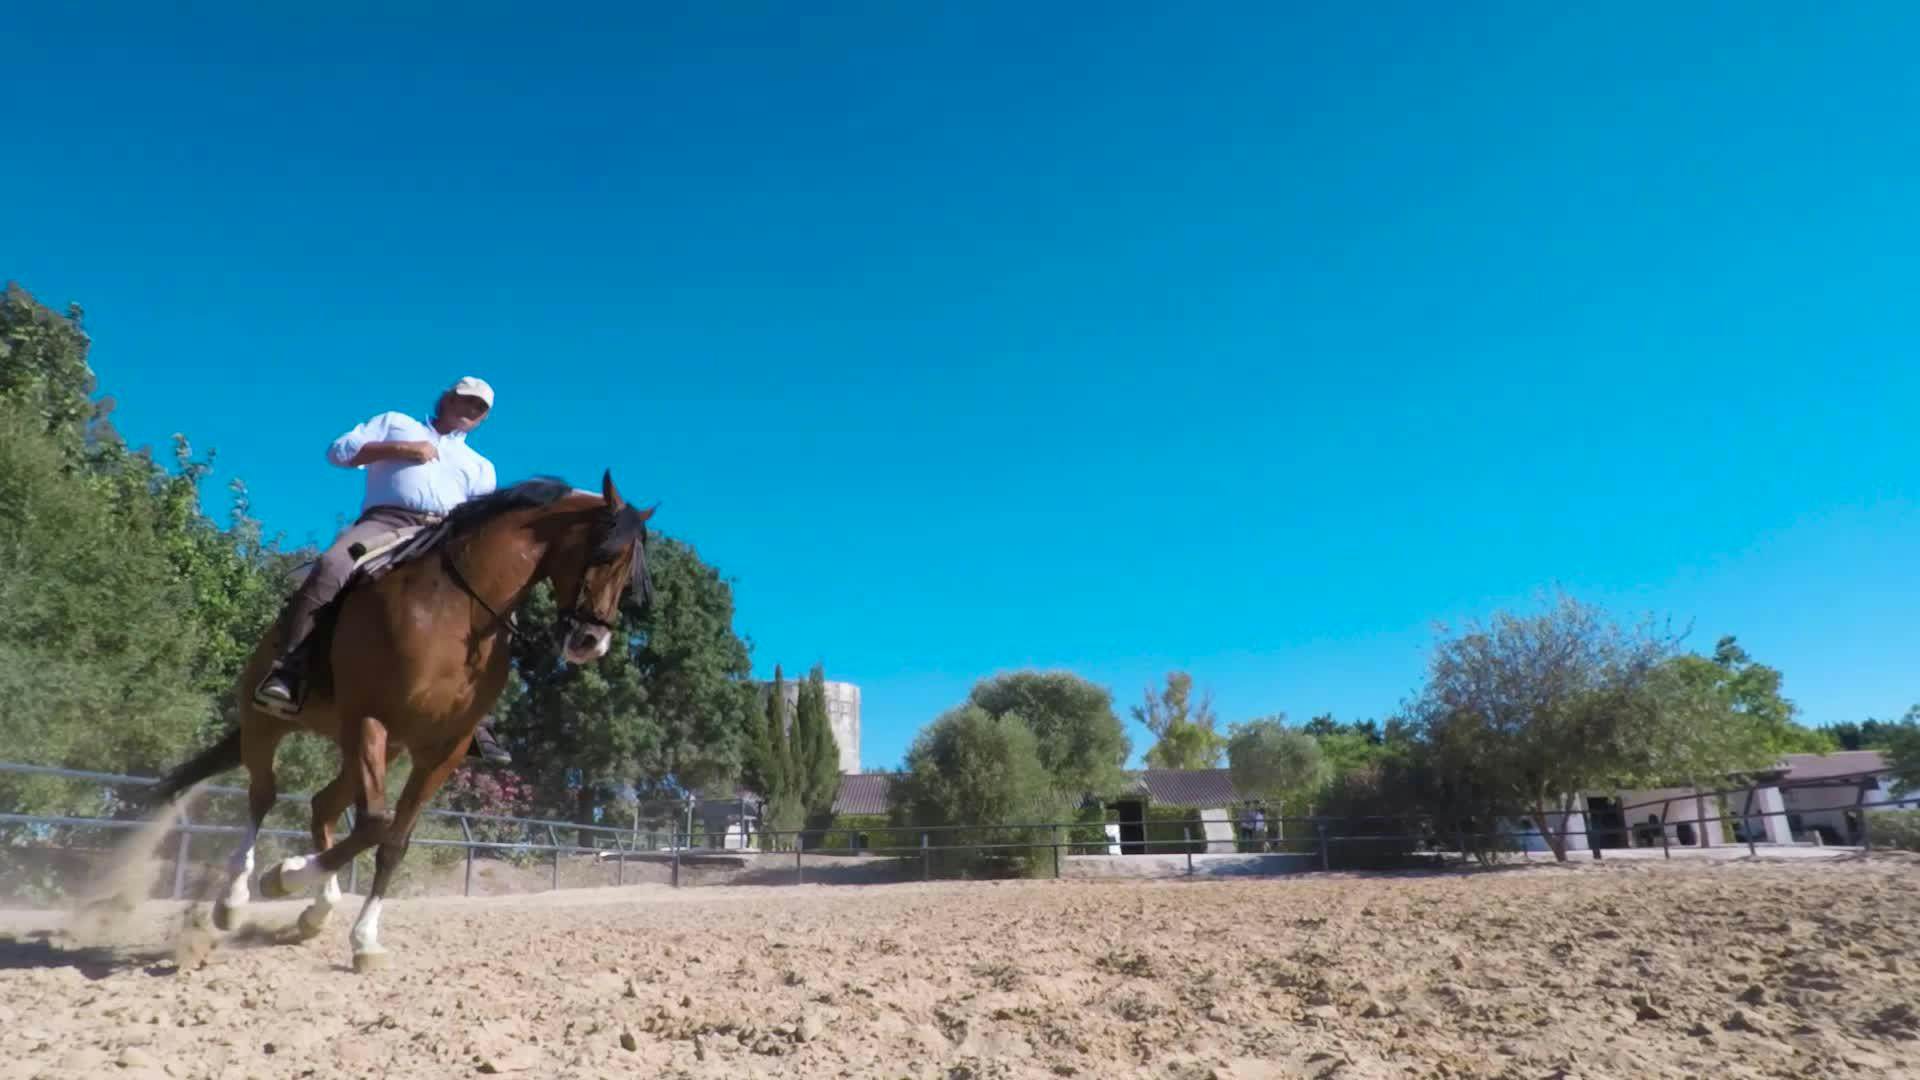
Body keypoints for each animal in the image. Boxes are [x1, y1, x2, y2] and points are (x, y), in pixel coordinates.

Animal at [144, 468, 652, 968]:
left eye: (629, 578)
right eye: (603, 554)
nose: (590, 642)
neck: (458, 613)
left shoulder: (440, 752)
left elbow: (393, 841)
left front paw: (364, 937)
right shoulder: (371, 718)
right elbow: (374, 823)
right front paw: (284, 876)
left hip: (373, 747)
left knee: (322, 807)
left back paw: (317, 912)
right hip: (269, 722)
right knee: (264, 796)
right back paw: (234, 898)